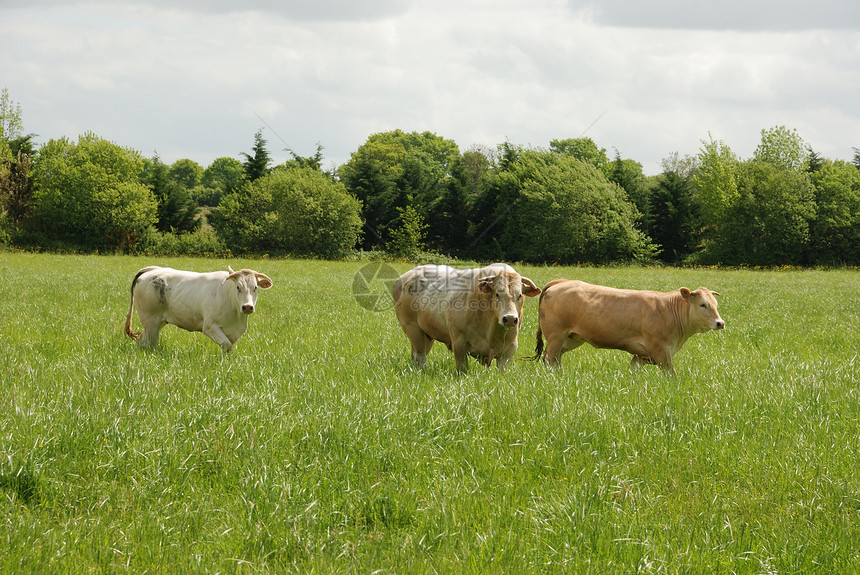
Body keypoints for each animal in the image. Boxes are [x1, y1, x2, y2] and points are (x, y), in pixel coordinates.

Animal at [122, 266, 272, 356]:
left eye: (255, 287)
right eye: (238, 287)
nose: (247, 306)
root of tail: (153, 270)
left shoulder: (234, 331)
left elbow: (229, 348)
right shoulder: (210, 327)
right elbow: (226, 344)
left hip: (157, 322)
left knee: (143, 340)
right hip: (150, 320)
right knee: (149, 342)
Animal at [394, 264, 540, 372]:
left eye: (519, 295)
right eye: (497, 294)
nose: (509, 318)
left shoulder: (509, 349)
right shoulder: (459, 344)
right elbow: (462, 368)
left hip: (427, 334)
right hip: (413, 329)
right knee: (420, 356)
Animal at [536, 280, 724, 378]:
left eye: (716, 304)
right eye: (703, 304)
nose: (720, 323)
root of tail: (562, 282)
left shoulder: (641, 355)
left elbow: (633, 371)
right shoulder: (661, 351)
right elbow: (671, 374)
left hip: (571, 338)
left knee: (556, 359)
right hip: (556, 335)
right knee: (549, 358)